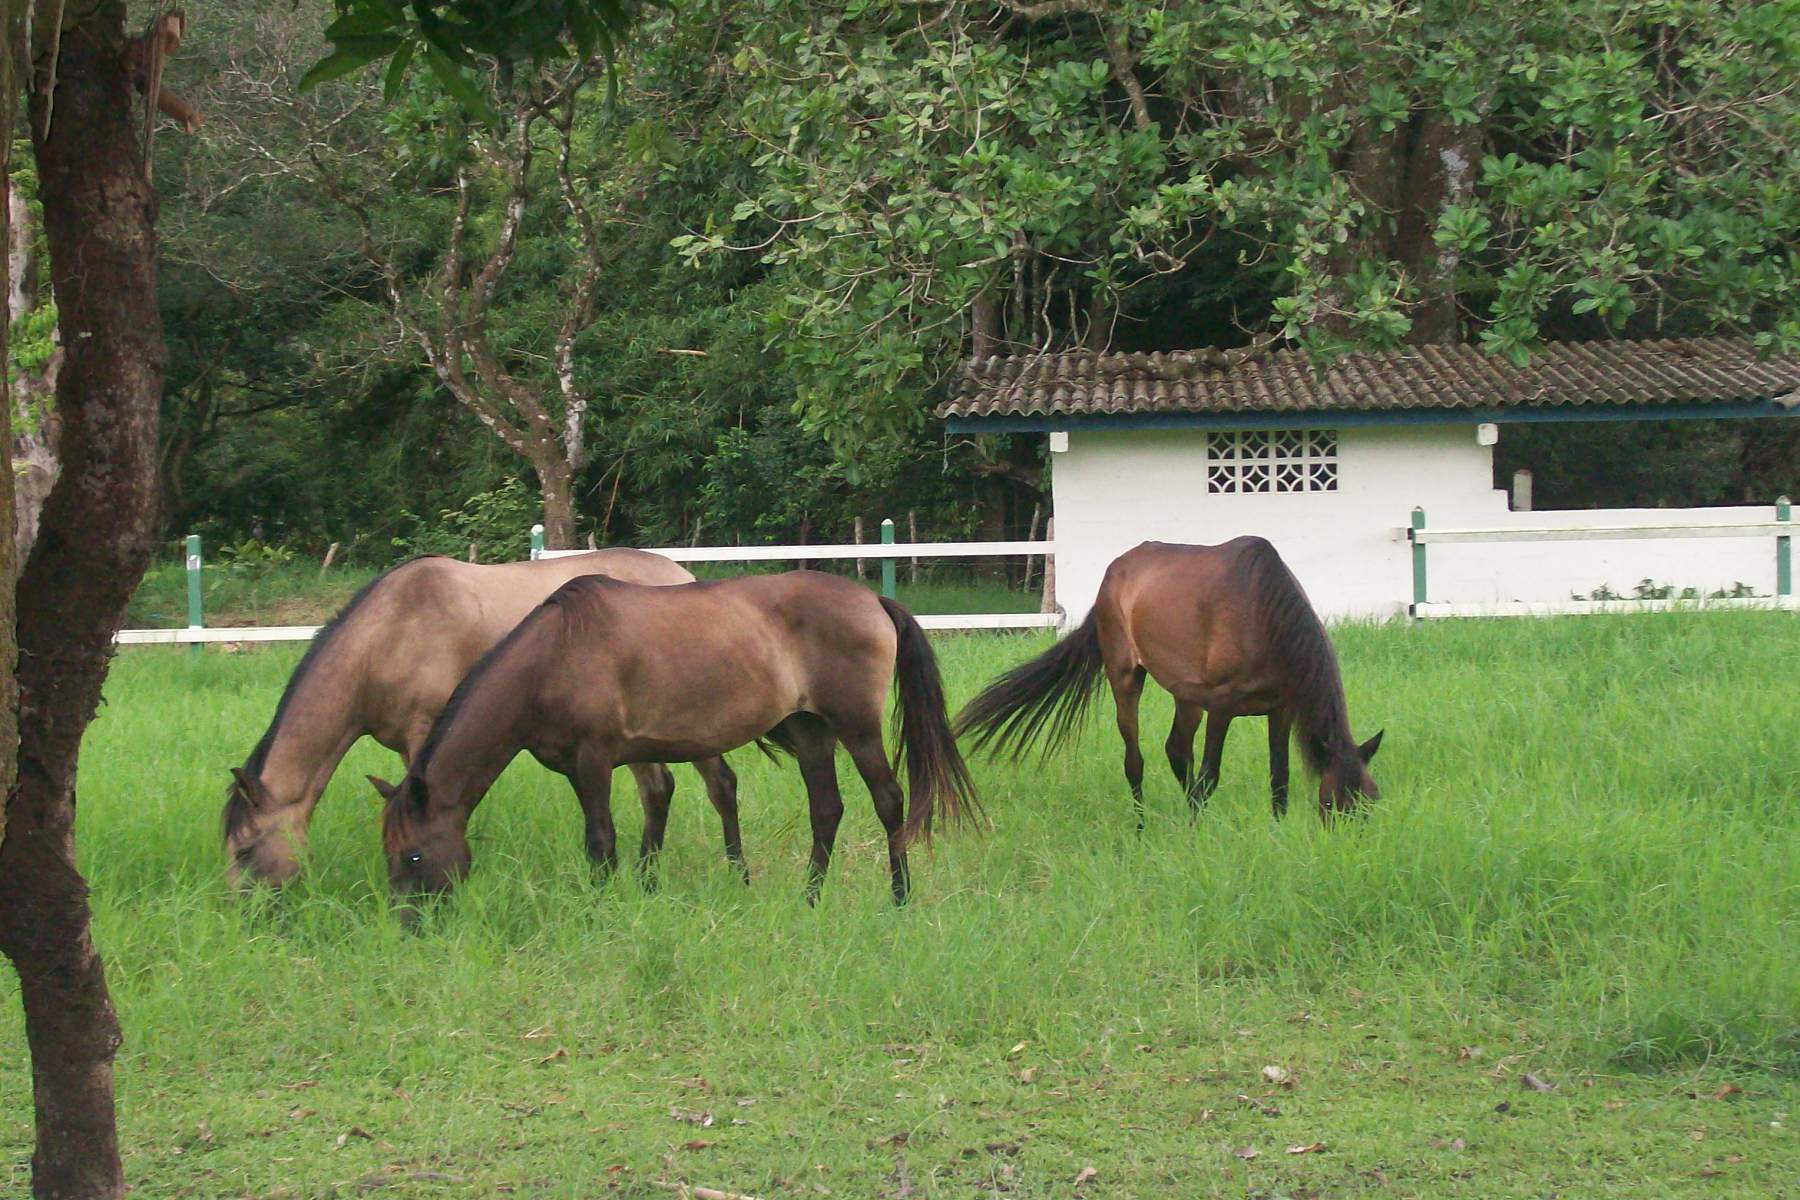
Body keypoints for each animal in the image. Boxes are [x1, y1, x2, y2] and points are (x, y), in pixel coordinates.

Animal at [225, 550, 745, 888]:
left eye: (245, 851)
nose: (247, 917)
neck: (390, 634)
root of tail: (679, 572)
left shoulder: (425, 733)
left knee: (718, 786)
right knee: (658, 790)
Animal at [370, 572, 979, 910]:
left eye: (414, 853)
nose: (411, 925)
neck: (553, 657)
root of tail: (874, 601)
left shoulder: (594, 761)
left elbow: (600, 842)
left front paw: (599, 912)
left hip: (856, 728)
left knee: (889, 802)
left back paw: (899, 899)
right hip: (811, 732)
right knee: (826, 809)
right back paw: (809, 899)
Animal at [964, 543, 1382, 831]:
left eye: (1370, 802)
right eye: (1333, 803)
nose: (1349, 846)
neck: (1263, 613)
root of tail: (1112, 574)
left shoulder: (1279, 708)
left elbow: (1279, 779)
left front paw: (1275, 832)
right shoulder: (1223, 706)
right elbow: (1210, 776)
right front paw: (1197, 835)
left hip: (1187, 696)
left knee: (1177, 751)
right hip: (1126, 679)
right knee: (1135, 762)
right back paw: (1141, 829)